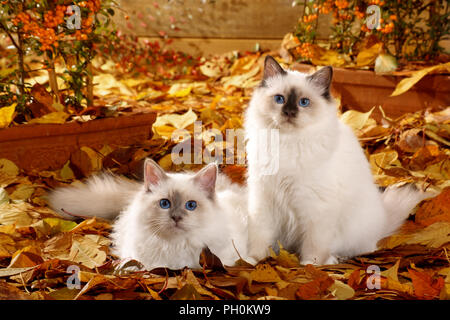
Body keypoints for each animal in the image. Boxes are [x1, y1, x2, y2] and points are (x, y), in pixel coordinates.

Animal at [244, 57, 430, 264]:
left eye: (304, 102)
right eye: (279, 99)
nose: (290, 113)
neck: (285, 143)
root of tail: (382, 219)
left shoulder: (315, 206)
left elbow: (313, 245)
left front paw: (309, 265)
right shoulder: (264, 199)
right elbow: (260, 237)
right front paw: (252, 260)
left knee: (359, 249)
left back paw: (333, 260)